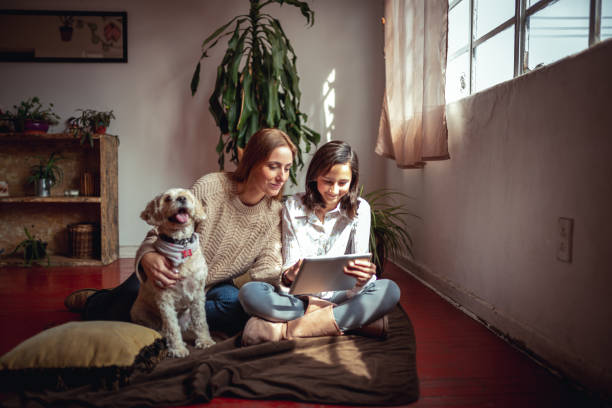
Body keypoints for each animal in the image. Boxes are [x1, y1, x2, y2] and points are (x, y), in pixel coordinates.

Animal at [131, 188, 215, 356]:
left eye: (186, 195)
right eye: (168, 198)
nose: (182, 199)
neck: (180, 244)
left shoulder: (198, 295)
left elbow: (201, 321)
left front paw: (204, 341)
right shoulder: (165, 298)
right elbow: (172, 327)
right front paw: (177, 348)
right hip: (140, 313)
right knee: (161, 329)